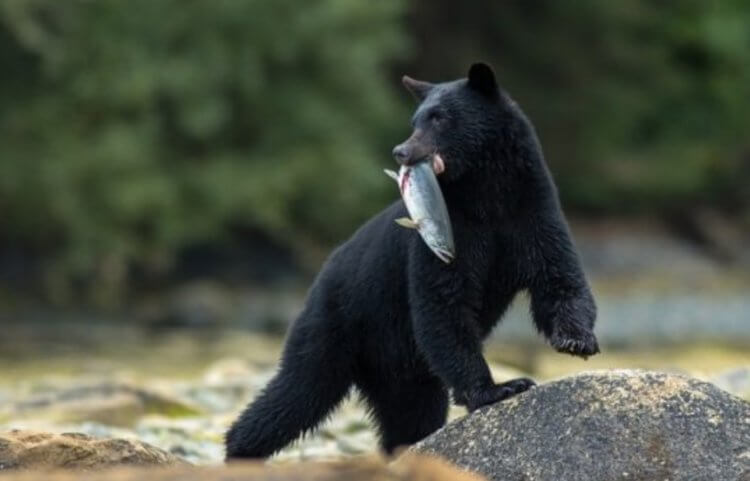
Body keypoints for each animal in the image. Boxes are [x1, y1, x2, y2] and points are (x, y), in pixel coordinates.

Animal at [226, 62, 604, 460]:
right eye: (415, 120)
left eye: (440, 117)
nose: (401, 151)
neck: (487, 194)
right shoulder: (446, 235)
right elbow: (442, 302)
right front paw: (498, 388)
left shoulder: (531, 212)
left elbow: (558, 277)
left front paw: (576, 340)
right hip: (334, 324)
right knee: (299, 389)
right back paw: (239, 449)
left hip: (403, 369)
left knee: (410, 415)